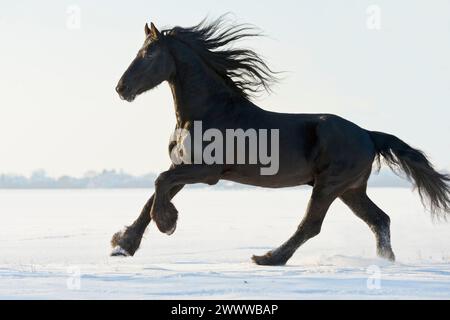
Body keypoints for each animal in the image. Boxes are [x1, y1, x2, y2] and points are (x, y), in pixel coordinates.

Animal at [110, 16, 448, 264]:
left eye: (148, 54)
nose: (121, 88)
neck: (209, 112)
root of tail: (367, 134)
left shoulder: (206, 172)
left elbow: (158, 183)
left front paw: (167, 223)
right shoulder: (183, 166)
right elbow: (154, 193)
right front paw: (122, 245)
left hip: (329, 185)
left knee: (312, 225)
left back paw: (269, 257)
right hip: (351, 189)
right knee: (379, 220)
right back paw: (384, 262)